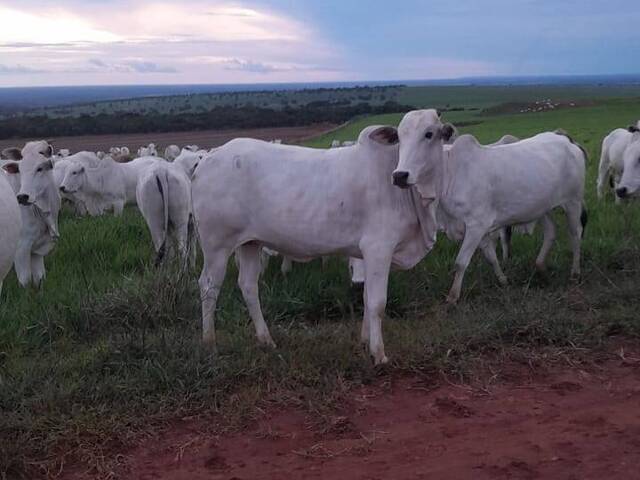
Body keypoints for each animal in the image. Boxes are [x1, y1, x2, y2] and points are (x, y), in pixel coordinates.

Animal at [0, 141, 61, 286]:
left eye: (40, 168)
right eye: (20, 170)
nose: (22, 197)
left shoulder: (38, 251)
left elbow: (39, 278)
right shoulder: (21, 249)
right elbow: (25, 281)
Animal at [192, 124, 438, 364]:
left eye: (430, 134)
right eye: (403, 137)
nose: (402, 175)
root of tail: (209, 157)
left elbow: (367, 297)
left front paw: (365, 341)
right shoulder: (378, 248)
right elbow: (377, 303)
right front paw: (378, 353)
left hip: (251, 243)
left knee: (248, 285)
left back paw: (266, 340)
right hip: (217, 246)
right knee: (209, 286)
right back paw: (209, 343)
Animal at [392, 109, 588, 304]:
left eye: (429, 134)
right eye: (399, 137)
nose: (400, 175)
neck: (451, 172)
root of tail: (565, 139)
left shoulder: (476, 225)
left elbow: (461, 262)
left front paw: (453, 297)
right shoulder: (481, 230)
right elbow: (491, 257)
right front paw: (503, 280)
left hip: (573, 201)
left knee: (575, 233)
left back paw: (575, 273)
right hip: (542, 207)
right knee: (550, 232)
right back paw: (540, 267)